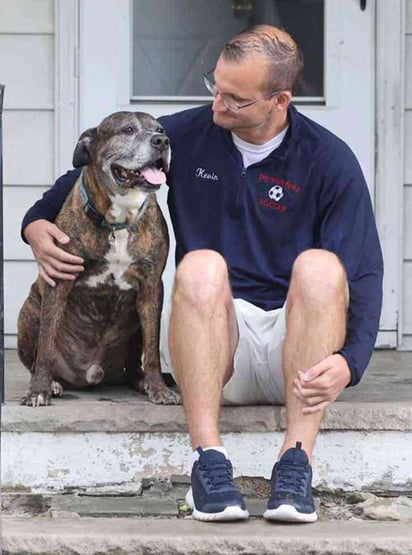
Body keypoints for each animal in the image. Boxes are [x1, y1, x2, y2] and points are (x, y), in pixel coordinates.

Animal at [18, 112, 180, 408]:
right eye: (127, 130)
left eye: (160, 129)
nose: (162, 141)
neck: (119, 220)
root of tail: (91, 374)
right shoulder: (59, 280)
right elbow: (46, 346)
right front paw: (38, 391)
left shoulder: (152, 286)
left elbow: (152, 349)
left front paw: (159, 390)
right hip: (29, 312)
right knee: (37, 354)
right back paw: (53, 383)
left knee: (135, 361)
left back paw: (140, 380)